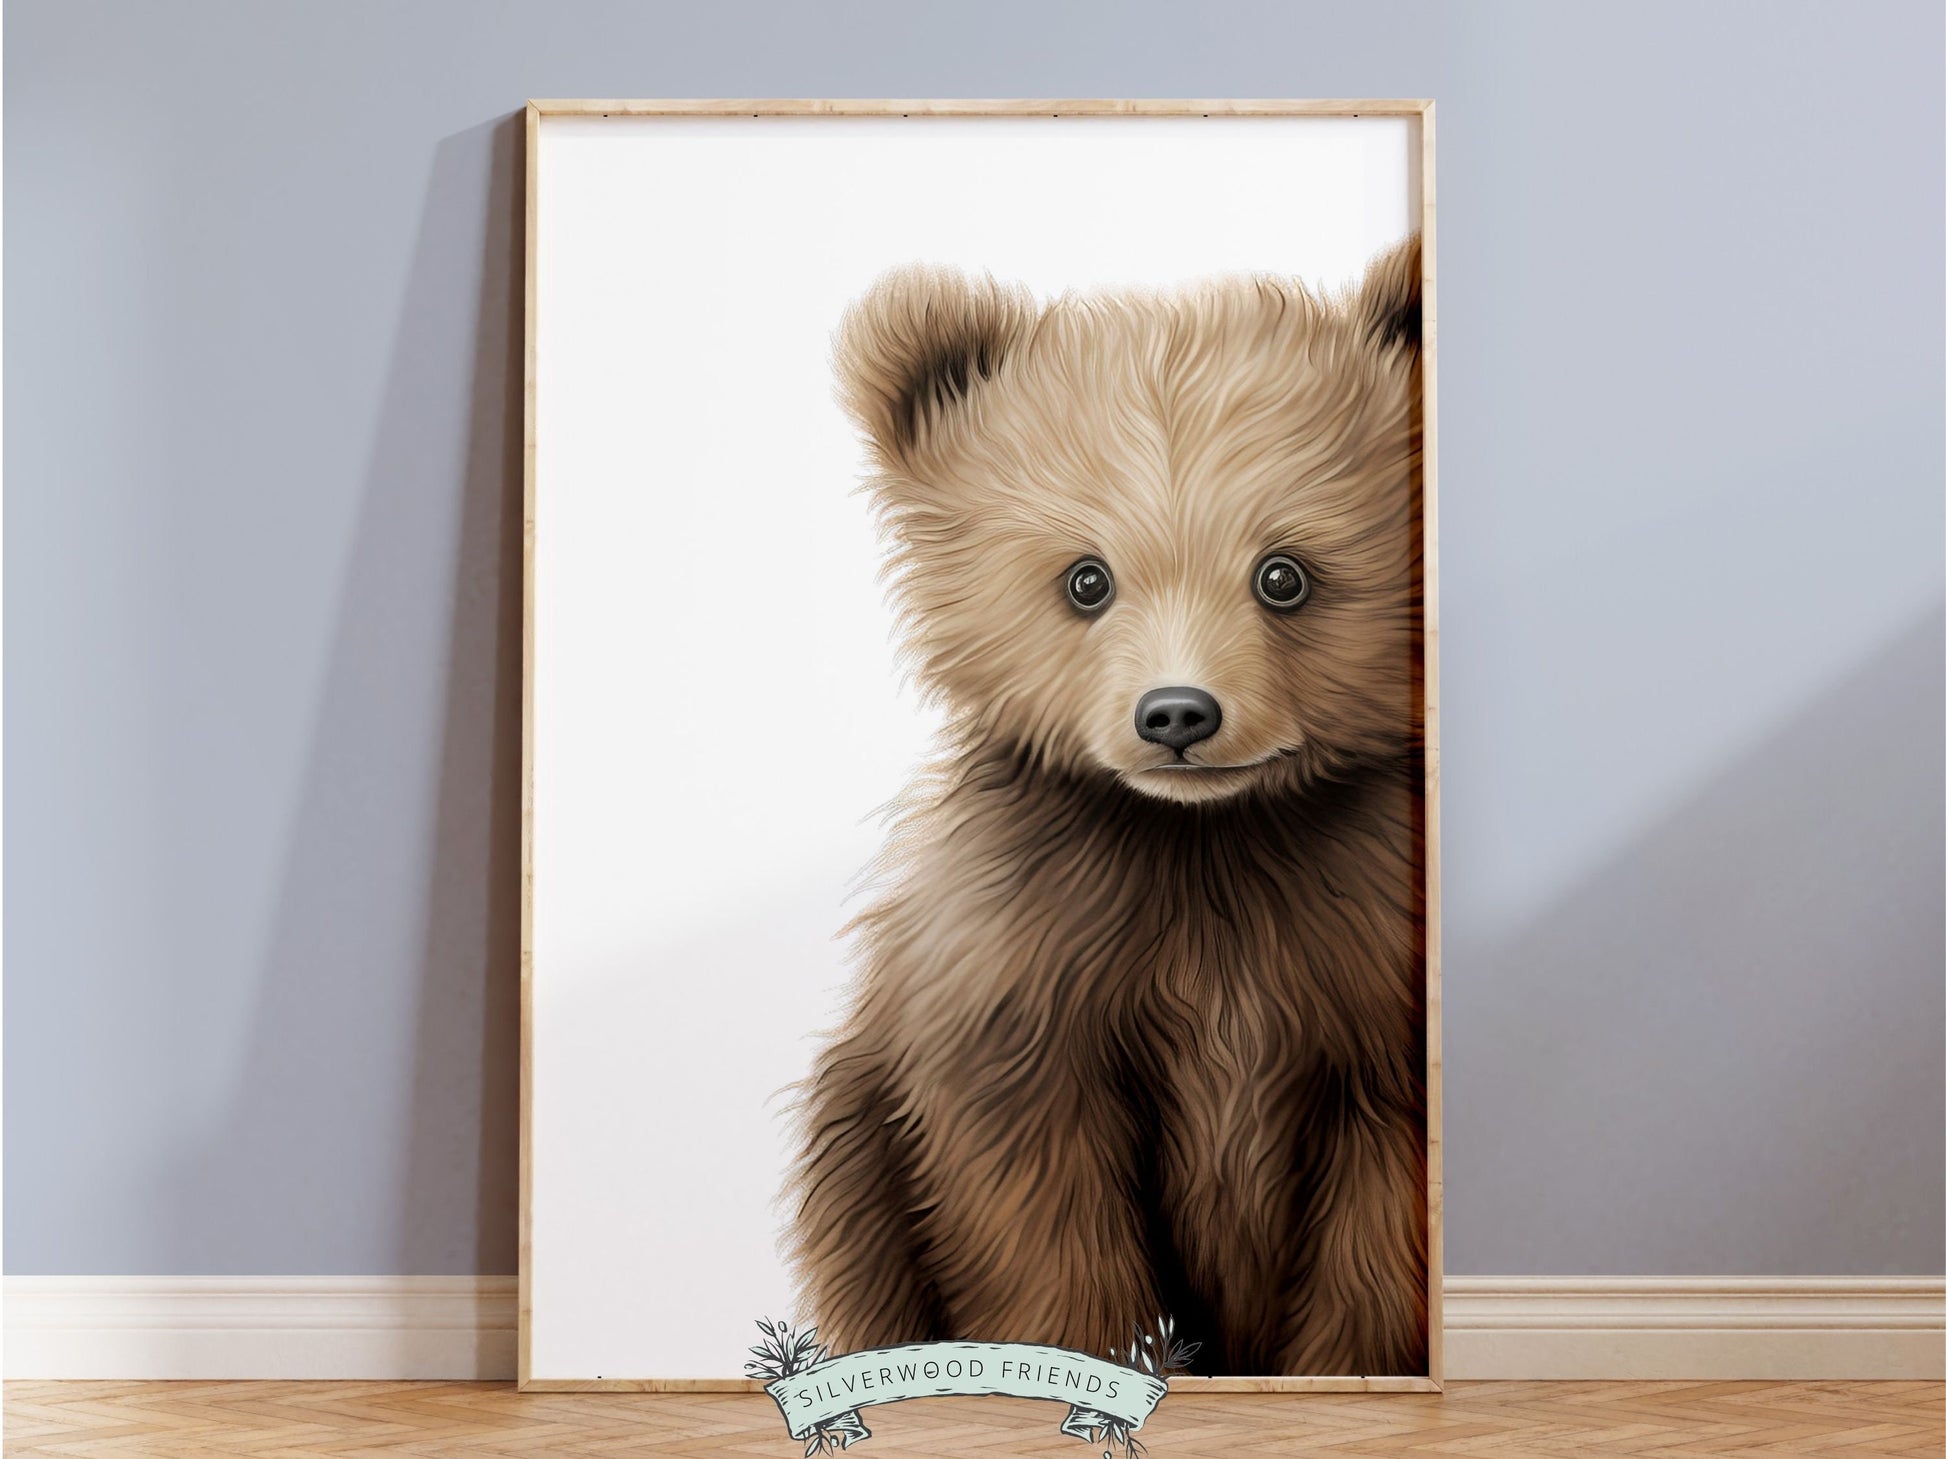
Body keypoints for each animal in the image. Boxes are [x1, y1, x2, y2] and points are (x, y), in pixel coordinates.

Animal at [787, 236, 1427, 1378]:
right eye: (1086, 577)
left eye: (1283, 572)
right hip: (854, 1144)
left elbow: (1375, 1222)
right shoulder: (1027, 976)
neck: (1206, 840)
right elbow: (1037, 1206)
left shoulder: (1358, 962)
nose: (1177, 712)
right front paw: (1084, 1353)